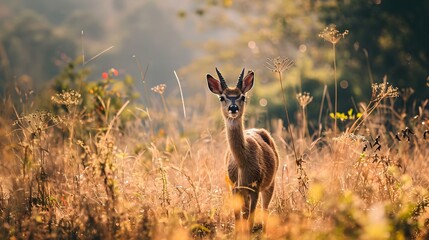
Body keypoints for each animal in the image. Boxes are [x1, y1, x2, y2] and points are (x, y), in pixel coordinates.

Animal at [206, 67, 280, 232]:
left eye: (242, 96)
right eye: (222, 97)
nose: (233, 108)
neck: (242, 165)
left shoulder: (255, 186)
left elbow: (250, 219)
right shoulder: (234, 188)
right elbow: (238, 219)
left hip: (270, 183)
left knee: (265, 210)